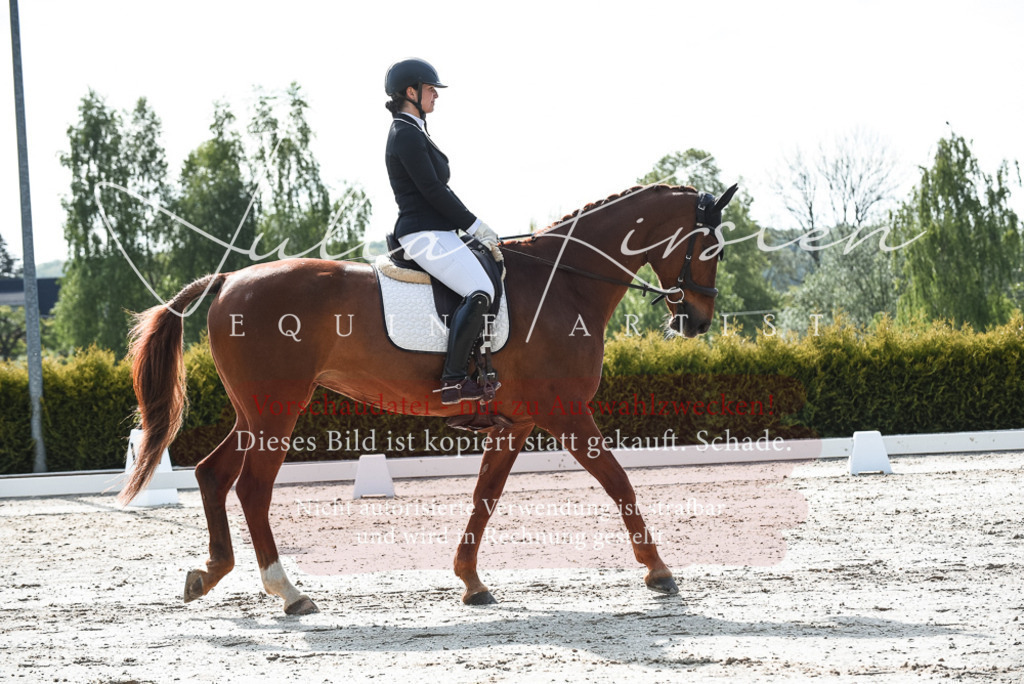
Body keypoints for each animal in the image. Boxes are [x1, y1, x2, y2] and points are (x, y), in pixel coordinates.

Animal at [120, 182, 739, 614]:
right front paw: (659, 571)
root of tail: (228, 279)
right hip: (278, 409)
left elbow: (485, 496)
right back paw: (288, 591)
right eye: (710, 246)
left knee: (212, 473)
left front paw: (471, 581)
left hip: (256, 409)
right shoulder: (565, 411)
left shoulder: (516, 422)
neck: (565, 282)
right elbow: (619, 482)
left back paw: (208, 574)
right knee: (250, 487)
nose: (697, 321)